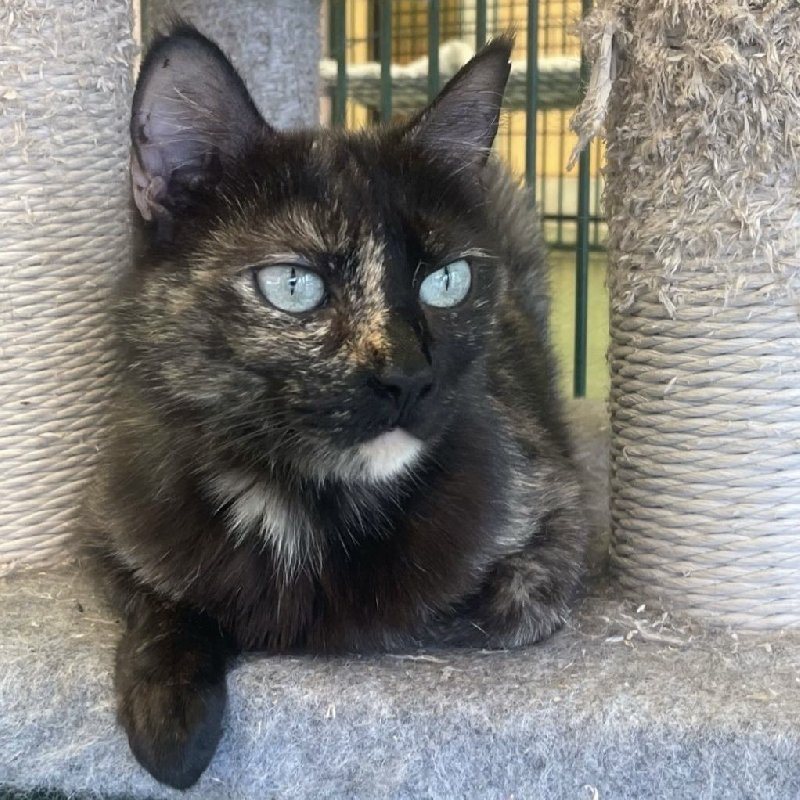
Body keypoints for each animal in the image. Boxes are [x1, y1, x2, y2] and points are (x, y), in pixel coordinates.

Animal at [80, 23, 588, 790]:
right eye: (294, 285)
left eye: (448, 280)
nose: (407, 376)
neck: (299, 507)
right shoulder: (110, 520)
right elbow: (163, 599)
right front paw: (170, 716)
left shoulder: (555, 527)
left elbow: (463, 611)